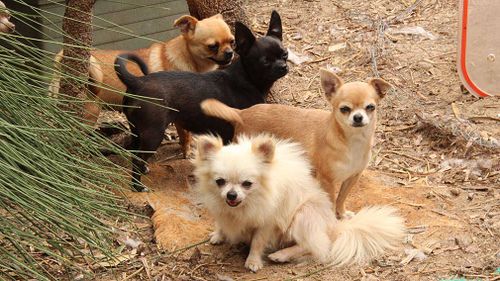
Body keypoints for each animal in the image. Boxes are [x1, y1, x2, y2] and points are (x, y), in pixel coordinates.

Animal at [115, 10, 290, 190]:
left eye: (285, 54)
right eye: (265, 61)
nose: (283, 66)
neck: (247, 78)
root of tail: (138, 81)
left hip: (137, 130)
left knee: (133, 153)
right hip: (153, 133)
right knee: (137, 158)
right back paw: (137, 186)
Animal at [191, 134, 406, 272]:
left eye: (247, 184)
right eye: (220, 182)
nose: (231, 195)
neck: (245, 205)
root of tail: (333, 226)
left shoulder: (267, 223)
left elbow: (258, 242)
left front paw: (253, 261)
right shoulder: (222, 210)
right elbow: (221, 223)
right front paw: (219, 235)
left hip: (304, 214)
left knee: (315, 245)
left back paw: (282, 254)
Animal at [201, 69, 392, 218]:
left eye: (370, 107)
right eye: (344, 109)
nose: (358, 117)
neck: (351, 141)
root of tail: (242, 113)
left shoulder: (352, 177)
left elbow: (341, 198)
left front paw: (342, 213)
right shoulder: (327, 181)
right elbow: (331, 200)